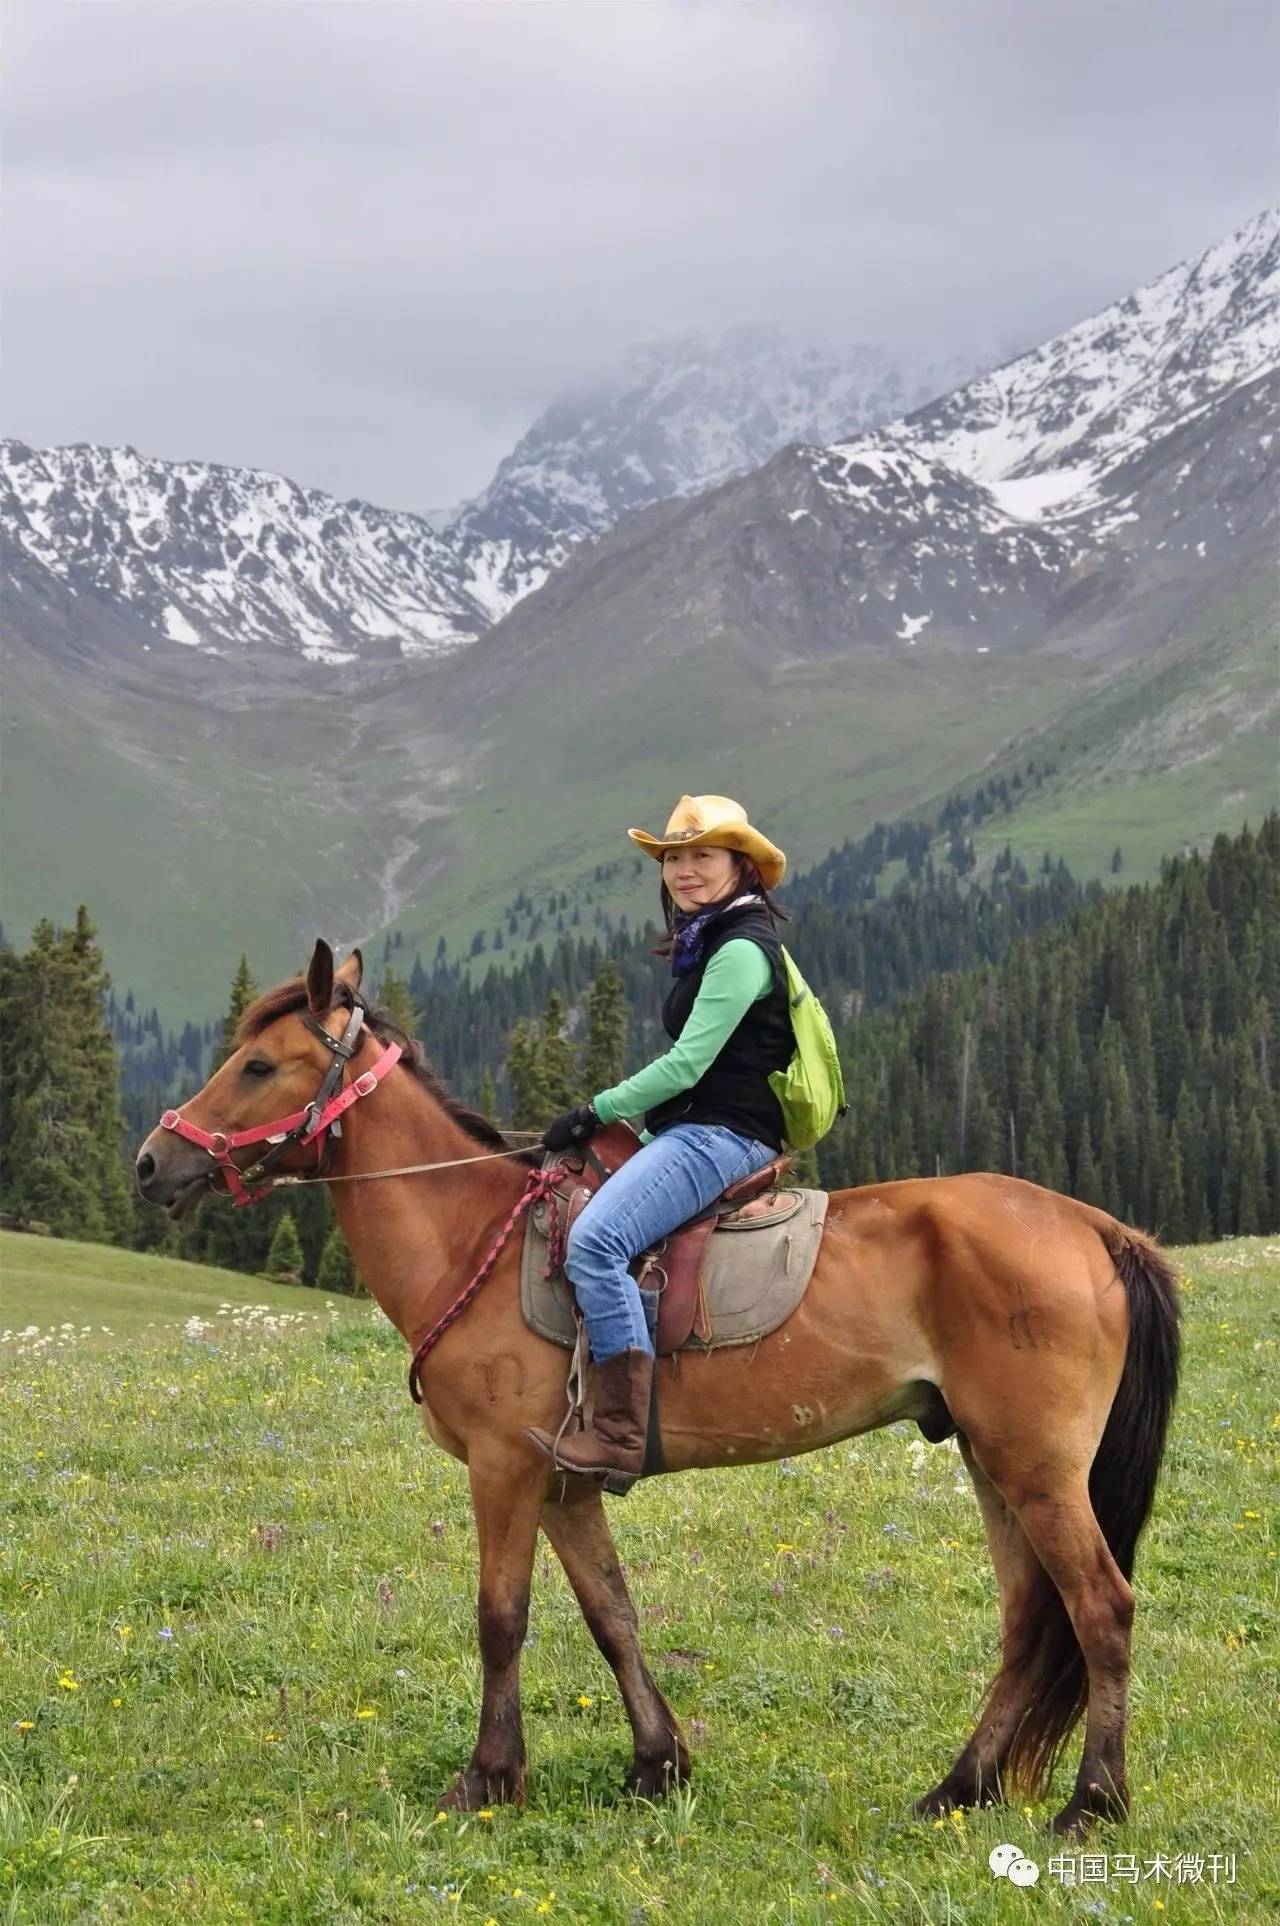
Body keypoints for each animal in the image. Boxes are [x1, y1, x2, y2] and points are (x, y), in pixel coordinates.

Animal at [134, 939, 1185, 1841]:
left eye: (257, 1067)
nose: (152, 1161)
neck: (474, 1238)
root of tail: (1096, 1228)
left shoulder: (504, 1470)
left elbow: (500, 1620)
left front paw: (488, 1777)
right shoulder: (563, 1482)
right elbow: (613, 1615)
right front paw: (656, 1764)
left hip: (1036, 1467)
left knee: (1100, 1608)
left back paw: (1092, 1802)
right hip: (989, 1459)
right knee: (1026, 1621)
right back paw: (958, 1788)